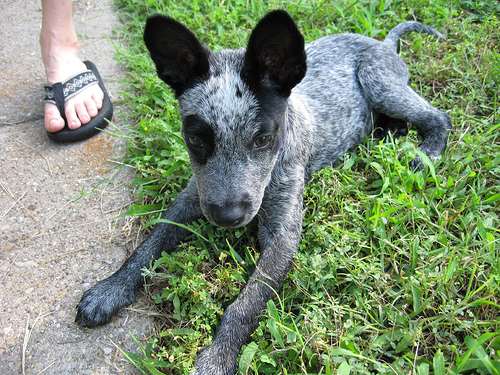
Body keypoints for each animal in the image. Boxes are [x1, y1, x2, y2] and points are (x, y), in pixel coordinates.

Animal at [76, 10, 452, 374]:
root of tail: (382, 43)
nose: (227, 216)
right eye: (195, 139)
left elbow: (247, 303)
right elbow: (148, 245)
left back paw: (427, 153)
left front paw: (219, 356)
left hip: (380, 83)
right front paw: (112, 288)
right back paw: (387, 133)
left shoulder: (282, 235)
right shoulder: (191, 198)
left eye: (263, 139)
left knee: (439, 116)